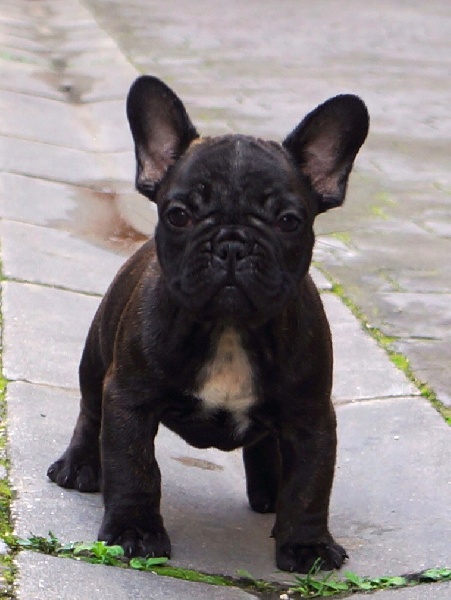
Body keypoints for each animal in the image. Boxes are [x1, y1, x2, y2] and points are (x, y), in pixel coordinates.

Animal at [48, 75, 369, 573]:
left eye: (288, 221)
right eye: (179, 214)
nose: (232, 244)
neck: (229, 329)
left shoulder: (311, 414)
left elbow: (310, 485)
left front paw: (306, 545)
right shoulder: (129, 399)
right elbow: (134, 467)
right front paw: (135, 531)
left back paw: (269, 490)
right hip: (95, 358)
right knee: (89, 411)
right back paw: (79, 465)